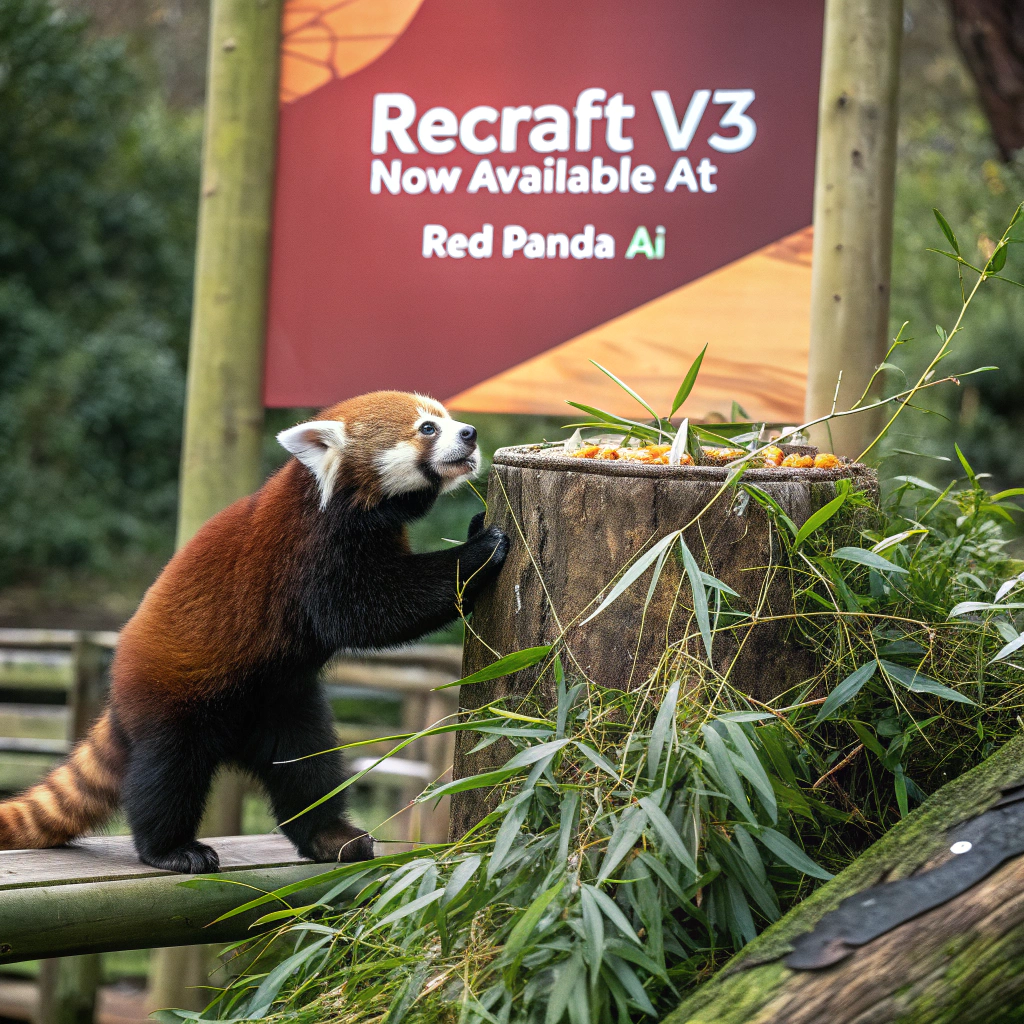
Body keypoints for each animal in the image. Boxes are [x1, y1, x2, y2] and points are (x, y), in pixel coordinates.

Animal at [0, 391, 509, 872]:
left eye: (447, 418)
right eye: (427, 428)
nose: (469, 432)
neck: (338, 499)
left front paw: (476, 525)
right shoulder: (311, 549)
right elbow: (368, 614)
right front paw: (478, 550)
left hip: (284, 704)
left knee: (307, 769)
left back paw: (329, 836)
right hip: (172, 700)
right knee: (168, 774)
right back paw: (170, 850)